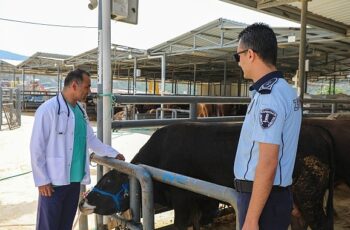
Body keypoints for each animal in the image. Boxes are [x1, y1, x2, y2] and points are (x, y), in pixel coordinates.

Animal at [80, 119, 350, 229]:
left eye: (109, 179)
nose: (83, 202)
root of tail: (318, 129)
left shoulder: (183, 200)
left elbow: (181, 225)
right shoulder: (202, 200)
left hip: (309, 195)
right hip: (296, 200)